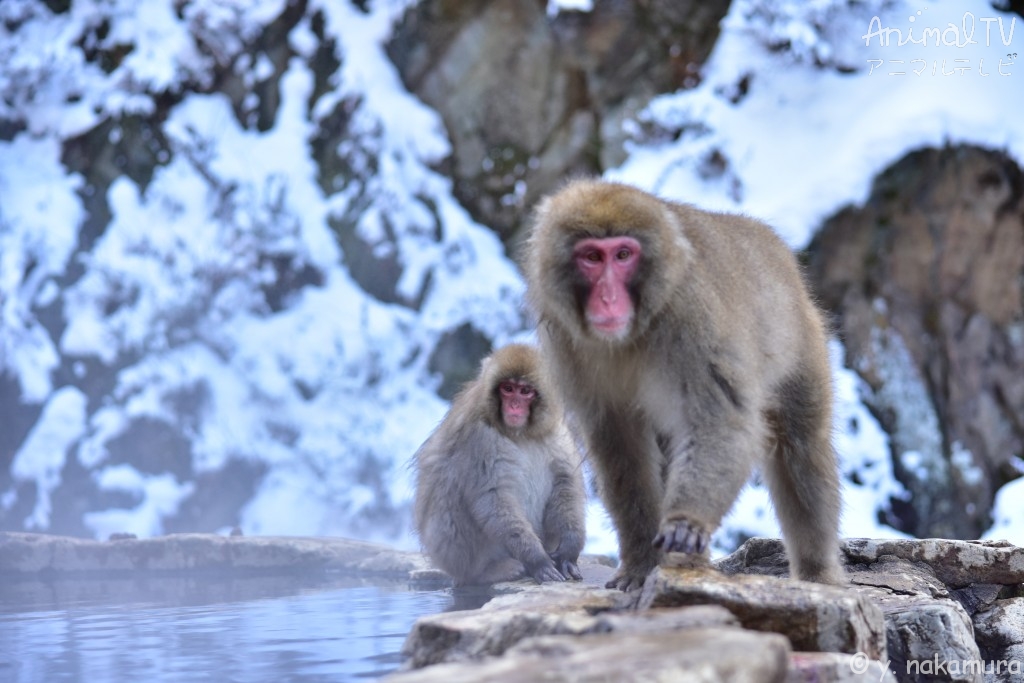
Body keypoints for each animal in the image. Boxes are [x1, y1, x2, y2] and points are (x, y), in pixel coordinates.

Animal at [409, 344, 585, 585]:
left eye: (525, 391)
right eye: (507, 389)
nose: (514, 406)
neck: (521, 434)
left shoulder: (555, 431)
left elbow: (565, 481)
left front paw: (569, 549)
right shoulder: (480, 437)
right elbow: (494, 495)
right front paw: (536, 559)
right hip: (453, 554)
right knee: (449, 489)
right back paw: (488, 570)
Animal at [524, 179, 843, 589]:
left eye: (623, 255)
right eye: (592, 257)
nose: (608, 298)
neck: (633, 333)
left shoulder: (693, 316)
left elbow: (721, 421)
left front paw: (685, 523)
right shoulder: (567, 342)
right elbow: (620, 446)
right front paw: (641, 563)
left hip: (802, 346)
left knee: (800, 446)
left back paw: (817, 572)